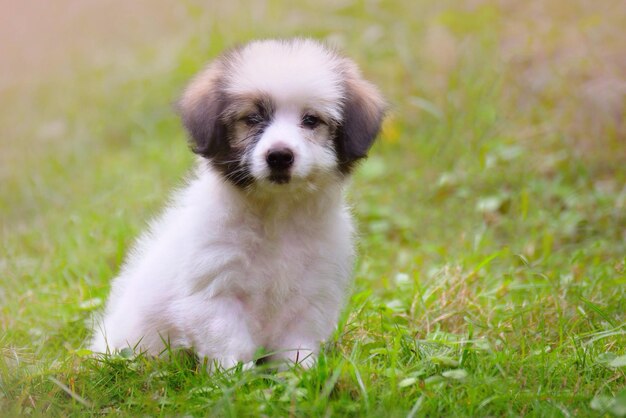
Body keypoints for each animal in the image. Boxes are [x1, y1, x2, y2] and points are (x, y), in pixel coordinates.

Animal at [91, 37, 386, 368]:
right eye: (252, 118)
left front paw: (300, 375)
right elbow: (231, 343)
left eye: (311, 120)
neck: (277, 217)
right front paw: (235, 378)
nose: (279, 156)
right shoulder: (214, 293)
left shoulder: (313, 294)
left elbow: (298, 347)